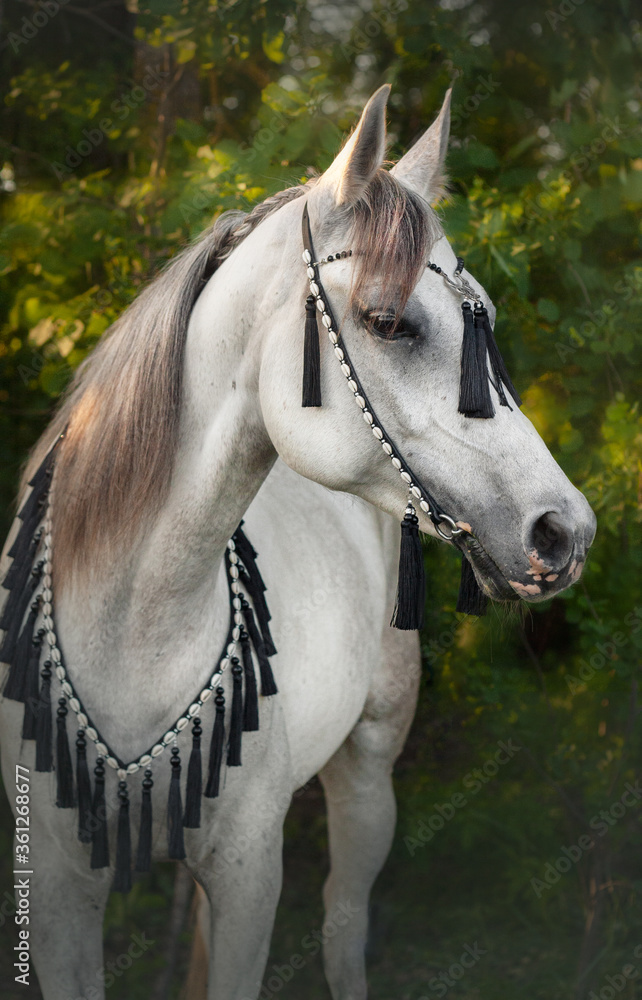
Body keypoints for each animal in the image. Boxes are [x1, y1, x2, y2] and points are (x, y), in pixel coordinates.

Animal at [0, 84, 595, 1000]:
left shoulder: (252, 876)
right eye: (388, 322)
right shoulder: (59, 890)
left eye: (484, 323)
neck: (134, 630)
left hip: (367, 778)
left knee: (344, 929)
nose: (563, 530)